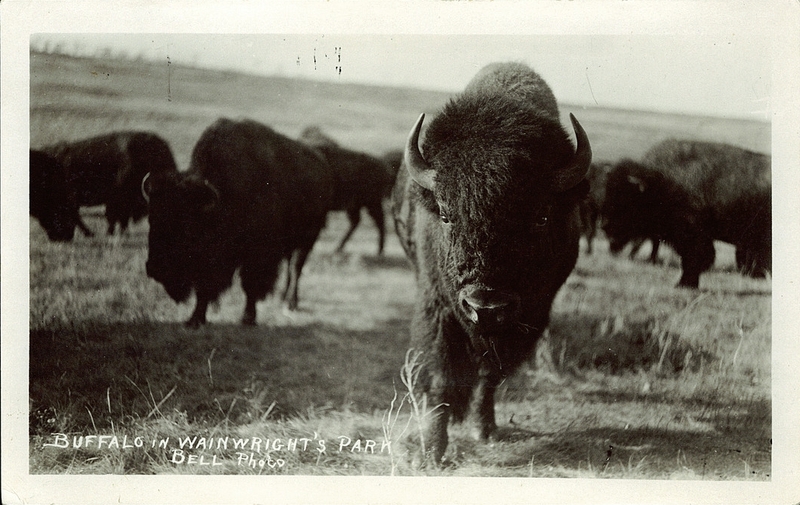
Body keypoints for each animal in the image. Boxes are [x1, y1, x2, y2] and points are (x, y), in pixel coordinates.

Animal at [143, 118, 334, 327]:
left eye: (187, 226)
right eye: (151, 219)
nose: (154, 268)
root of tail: (322, 165)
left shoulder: (257, 254)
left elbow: (250, 284)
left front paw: (248, 318)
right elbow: (204, 288)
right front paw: (195, 319)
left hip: (307, 238)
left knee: (295, 268)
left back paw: (290, 303)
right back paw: (283, 299)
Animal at [300, 126, 395, 255]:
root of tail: (385, 168)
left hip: (370, 202)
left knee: (378, 221)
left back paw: (379, 250)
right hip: (356, 205)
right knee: (357, 221)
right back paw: (339, 247)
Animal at [391, 62, 591, 464]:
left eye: (541, 217)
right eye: (446, 215)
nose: (485, 305)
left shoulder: (528, 318)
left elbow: (491, 374)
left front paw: (484, 429)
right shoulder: (439, 308)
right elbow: (440, 377)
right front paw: (431, 450)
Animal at [602, 141, 771, 288]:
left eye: (626, 199)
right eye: (608, 192)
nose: (605, 226)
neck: (661, 183)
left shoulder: (692, 235)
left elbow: (695, 258)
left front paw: (684, 284)